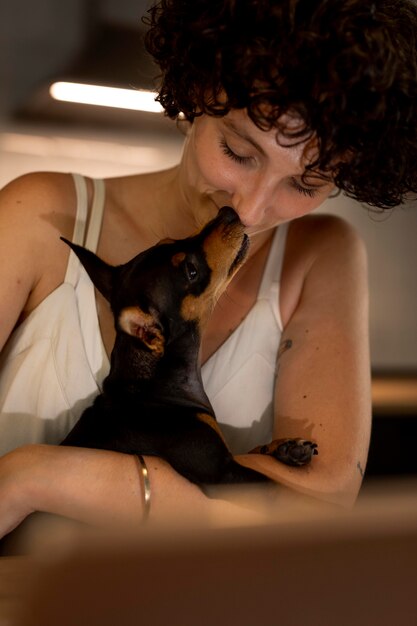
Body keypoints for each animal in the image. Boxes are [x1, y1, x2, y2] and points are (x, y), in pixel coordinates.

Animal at [61, 207, 316, 486]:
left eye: (170, 240)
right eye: (191, 271)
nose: (228, 211)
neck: (154, 387)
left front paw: (286, 448)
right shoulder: (222, 473)